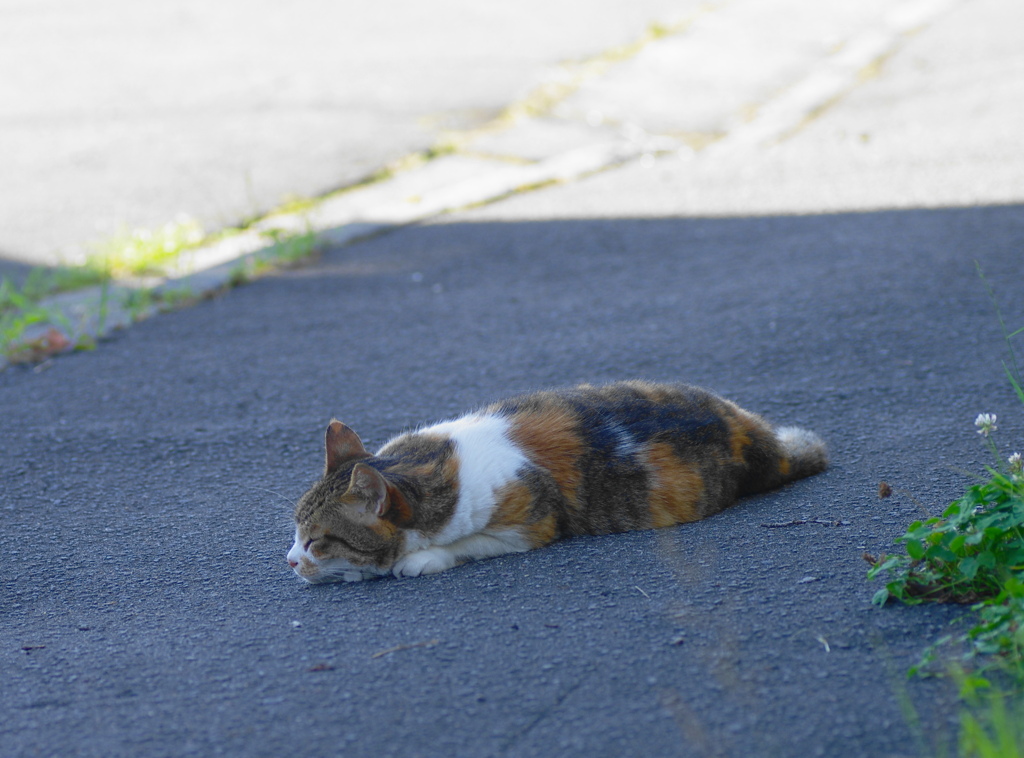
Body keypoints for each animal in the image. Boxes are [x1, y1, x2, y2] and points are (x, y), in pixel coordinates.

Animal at [286, 381, 823, 581]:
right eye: (294, 531)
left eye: (316, 541)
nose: (289, 560)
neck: (425, 462)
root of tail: (756, 432)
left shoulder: (527, 522)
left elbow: (465, 544)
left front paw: (420, 559)